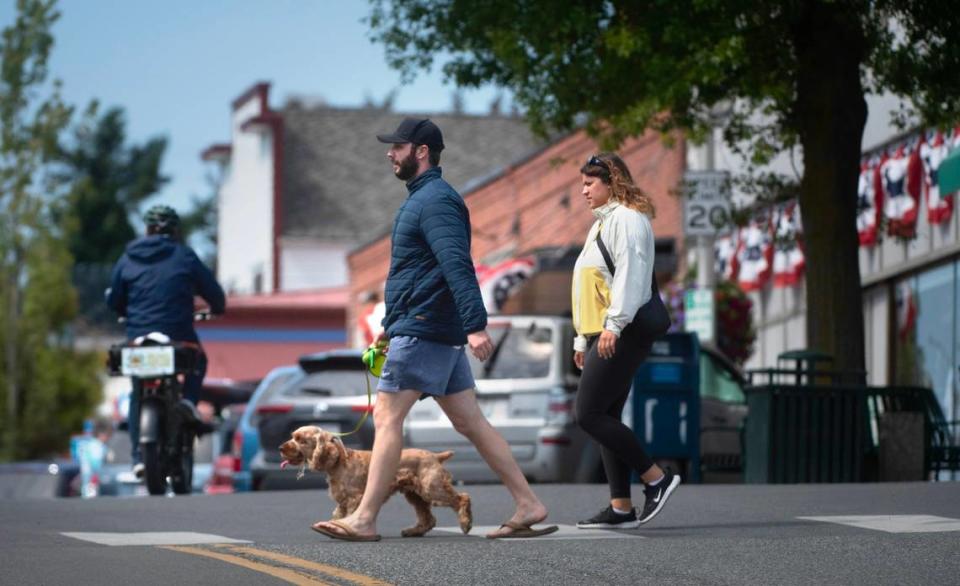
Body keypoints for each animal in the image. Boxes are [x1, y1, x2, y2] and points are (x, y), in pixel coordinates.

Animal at [278, 424, 472, 532]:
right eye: (292, 437)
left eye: (301, 440)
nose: (281, 448)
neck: (339, 462)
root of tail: (435, 456)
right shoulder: (342, 501)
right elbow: (337, 515)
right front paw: (333, 525)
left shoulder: (354, 498)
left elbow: (349, 514)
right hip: (415, 494)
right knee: (428, 518)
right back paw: (412, 531)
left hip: (431, 488)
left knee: (462, 498)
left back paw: (465, 524)